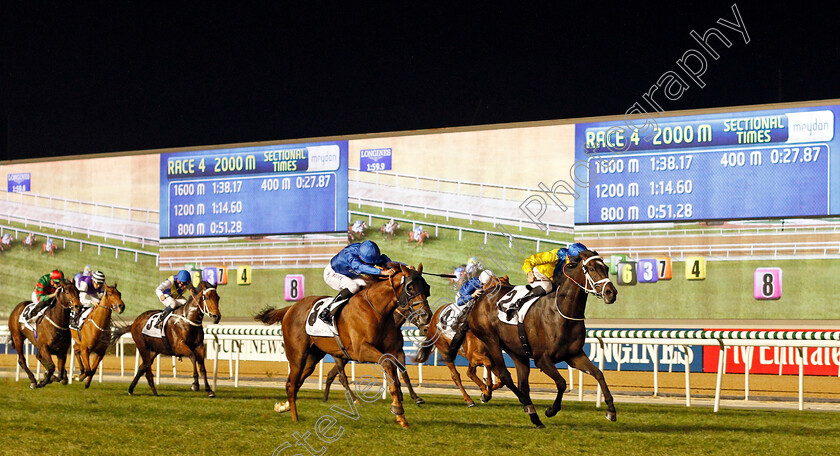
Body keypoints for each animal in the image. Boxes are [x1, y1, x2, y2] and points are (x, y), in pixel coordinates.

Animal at [253, 262, 430, 430]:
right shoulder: (361, 350)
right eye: (410, 287)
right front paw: (398, 408)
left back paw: (284, 407)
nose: (426, 316)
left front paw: (403, 414)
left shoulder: (395, 350)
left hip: (313, 356)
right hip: (297, 355)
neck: (377, 309)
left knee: (297, 381)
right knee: (292, 384)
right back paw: (295, 417)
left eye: (426, 287)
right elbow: (388, 364)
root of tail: (291, 308)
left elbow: (399, 374)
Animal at [456, 249, 620, 428]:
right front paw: (551, 410)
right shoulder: (542, 359)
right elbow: (561, 383)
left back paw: (533, 416)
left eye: (605, 268)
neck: (561, 313)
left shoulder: (574, 355)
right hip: (491, 340)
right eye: (591, 269)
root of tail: (479, 298)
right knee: (506, 376)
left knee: (522, 383)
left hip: (517, 351)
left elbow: (598, 374)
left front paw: (611, 410)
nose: (611, 293)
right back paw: (524, 404)